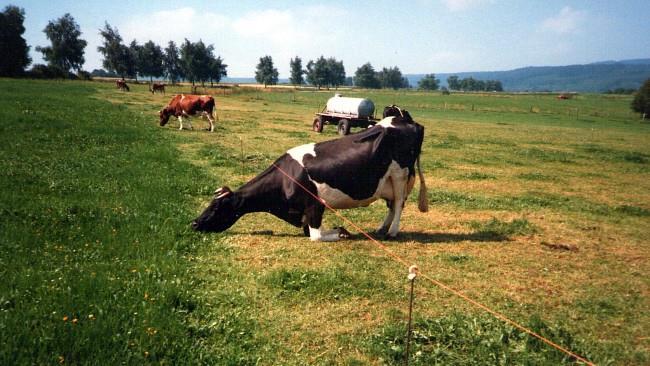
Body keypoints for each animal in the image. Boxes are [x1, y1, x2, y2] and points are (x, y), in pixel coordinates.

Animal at [190, 106, 428, 242]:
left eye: (216, 207)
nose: (193, 223)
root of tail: (404, 119)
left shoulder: (315, 205)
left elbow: (316, 236)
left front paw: (341, 231)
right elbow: (309, 232)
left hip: (400, 175)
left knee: (399, 204)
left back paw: (392, 232)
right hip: (387, 181)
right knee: (392, 205)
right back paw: (381, 229)